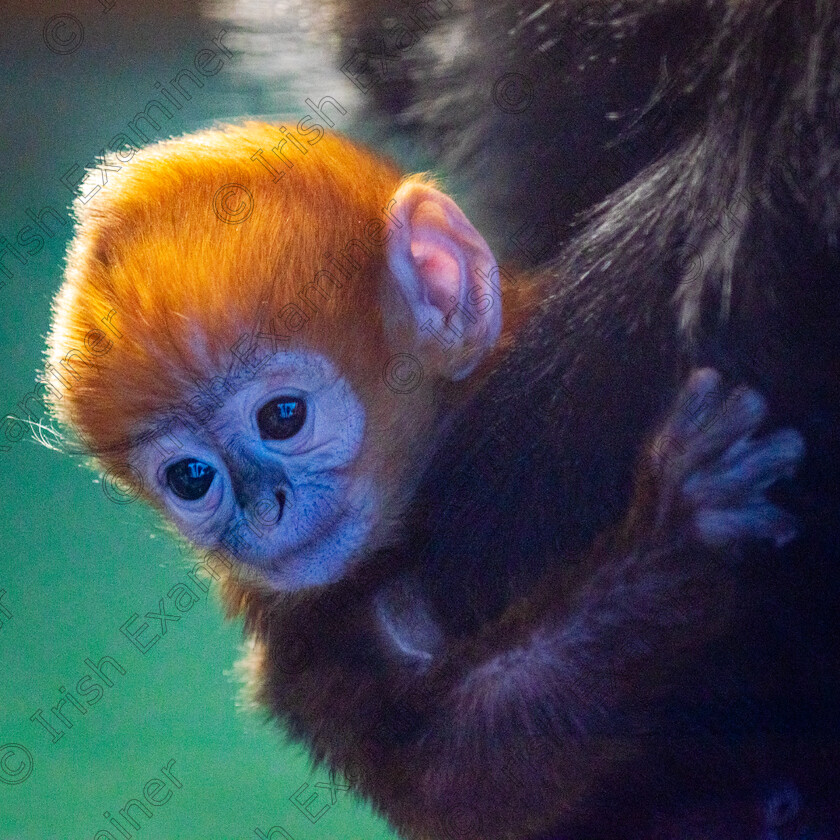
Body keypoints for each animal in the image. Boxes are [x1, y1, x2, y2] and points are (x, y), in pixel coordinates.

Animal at [44, 121, 800, 836]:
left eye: (283, 416)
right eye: (192, 477)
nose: (263, 512)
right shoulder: (299, 645)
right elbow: (463, 777)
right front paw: (678, 530)